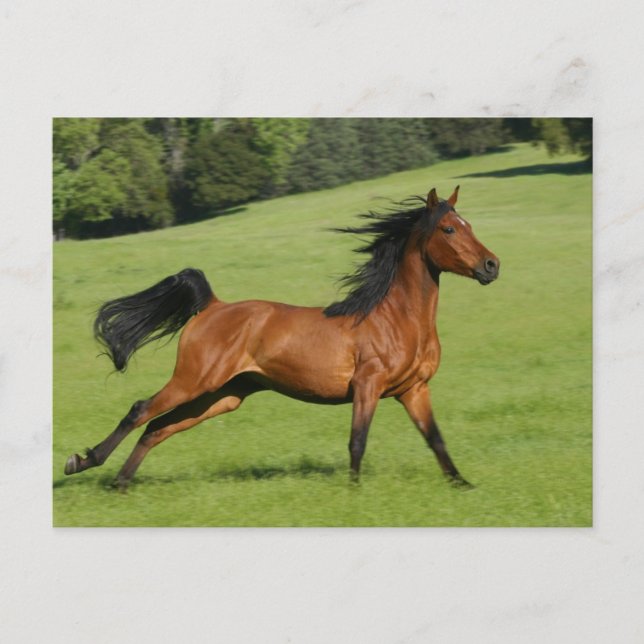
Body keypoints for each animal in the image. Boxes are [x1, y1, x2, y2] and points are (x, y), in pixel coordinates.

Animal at [64, 186, 500, 490]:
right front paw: (353, 492)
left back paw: (120, 483)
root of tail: (213, 306)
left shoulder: (414, 389)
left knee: (158, 428)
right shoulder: (368, 386)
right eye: (448, 228)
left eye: (470, 226)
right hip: (193, 381)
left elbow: (435, 439)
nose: (492, 265)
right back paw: (82, 462)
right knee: (140, 410)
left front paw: (463, 484)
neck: (396, 318)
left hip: (221, 395)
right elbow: (357, 441)